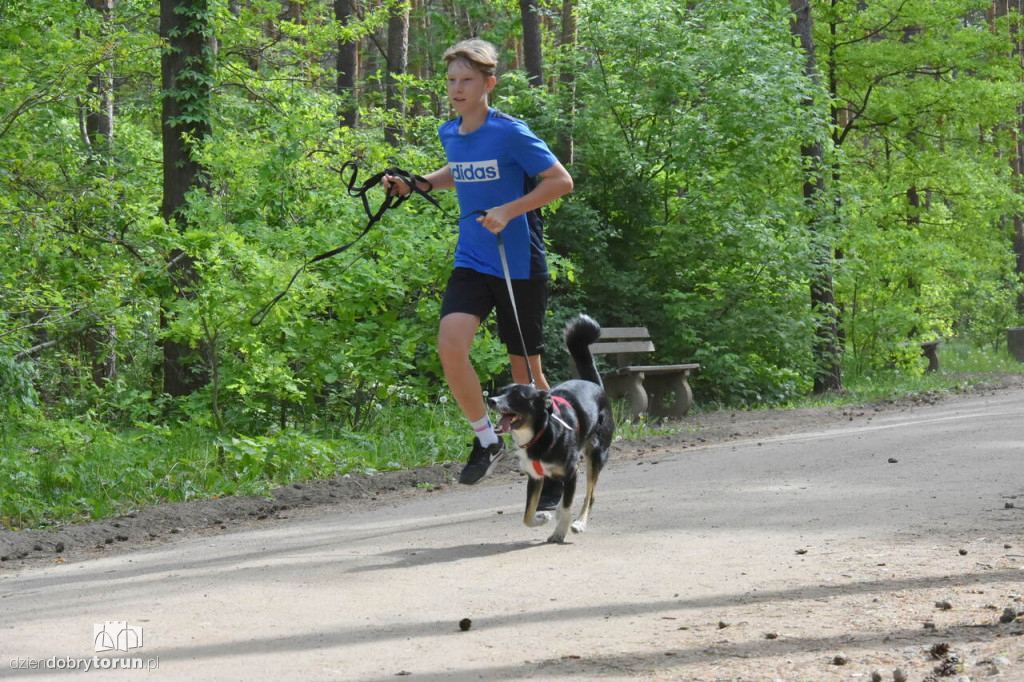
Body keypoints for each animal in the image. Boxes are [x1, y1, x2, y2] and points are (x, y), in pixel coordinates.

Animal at [483, 313, 610, 540]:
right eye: (502, 391)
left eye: (518, 396)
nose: (491, 400)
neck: (540, 434)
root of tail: (595, 385)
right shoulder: (535, 478)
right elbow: (527, 515)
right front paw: (541, 518)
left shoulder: (571, 471)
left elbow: (569, 505)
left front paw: (560, 531)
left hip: (596, 455)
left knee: (590, 496)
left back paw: (580, 522)